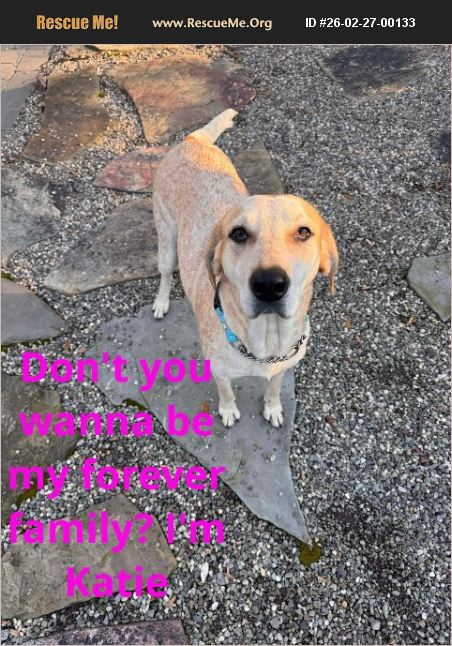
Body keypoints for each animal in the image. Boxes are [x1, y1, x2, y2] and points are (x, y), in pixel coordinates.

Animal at [152, 109, 338, 428]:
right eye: (238, 233)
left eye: (304, 232)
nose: (269, 284)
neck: (267, 342)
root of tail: (192, 140)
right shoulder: (218, 370)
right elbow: (226, 391)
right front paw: (228, 411)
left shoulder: (283, 366)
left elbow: (274, 387)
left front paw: (273, 408)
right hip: (166, 240)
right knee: (164, 274)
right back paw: (162, 303)